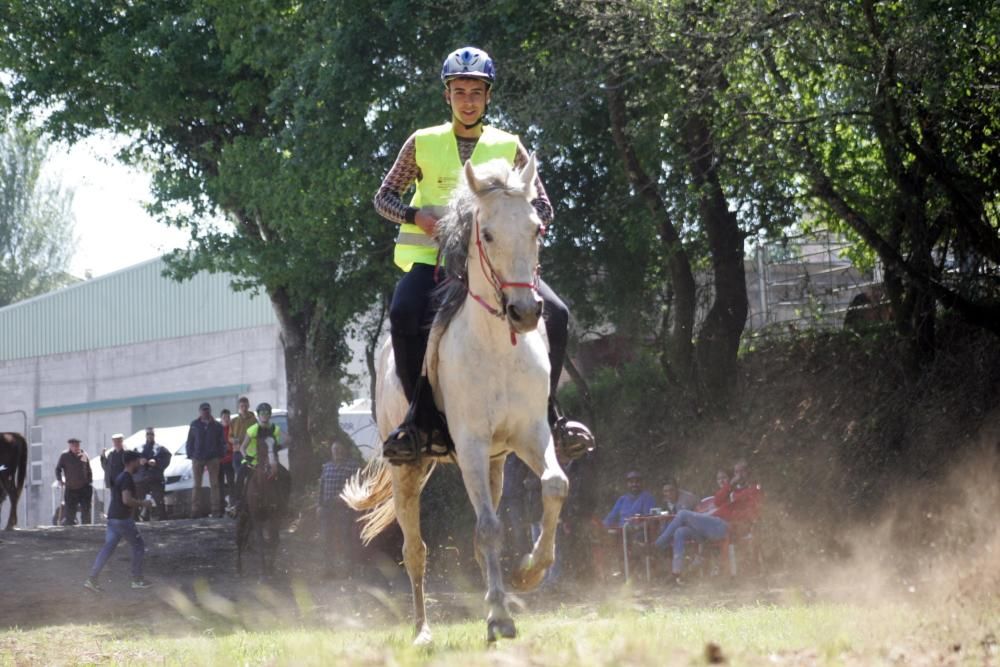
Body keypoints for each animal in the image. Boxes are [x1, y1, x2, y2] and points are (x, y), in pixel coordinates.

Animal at [344, 154, 568, 644]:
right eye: (487, 234)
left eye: (536, 228)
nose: (525, 313)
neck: (499, 348)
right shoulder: (470, 445)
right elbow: (488, 528)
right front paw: (500, 617)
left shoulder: (530, 435)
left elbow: (554, 486)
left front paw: (529, 574)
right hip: (407, 470)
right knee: (415, 549)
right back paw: (422, 630)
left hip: (497, 463)